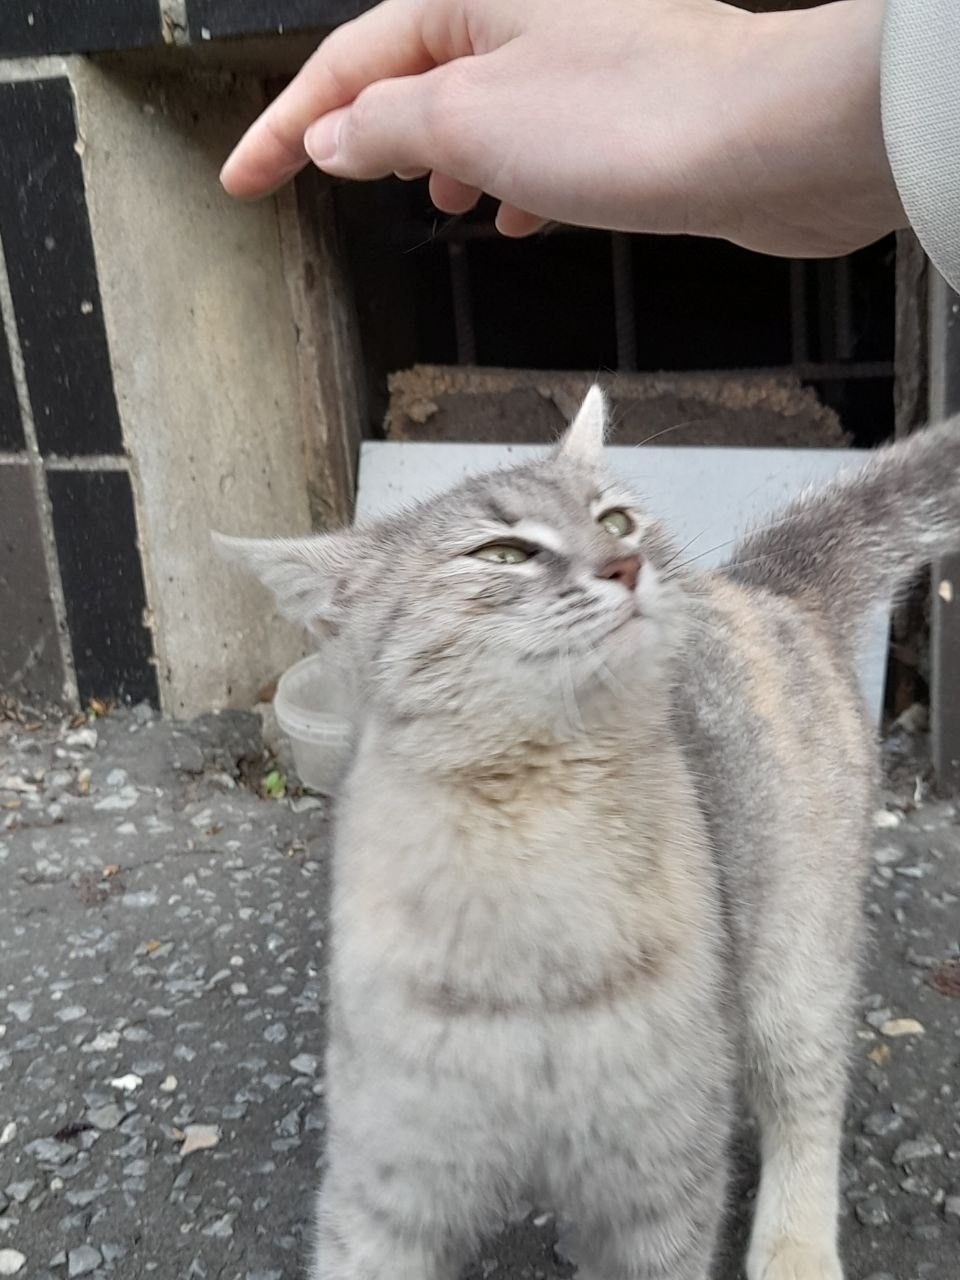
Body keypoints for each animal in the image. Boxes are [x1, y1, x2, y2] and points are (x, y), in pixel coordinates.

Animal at [216, 387, 960, 1280]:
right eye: (503, 553)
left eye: (614, 521)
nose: (624, 564)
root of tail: (758, 586)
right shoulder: (387, 1186)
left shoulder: (662, 1181)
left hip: (792, 972)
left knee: (808, 1104)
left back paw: (795, 1251)